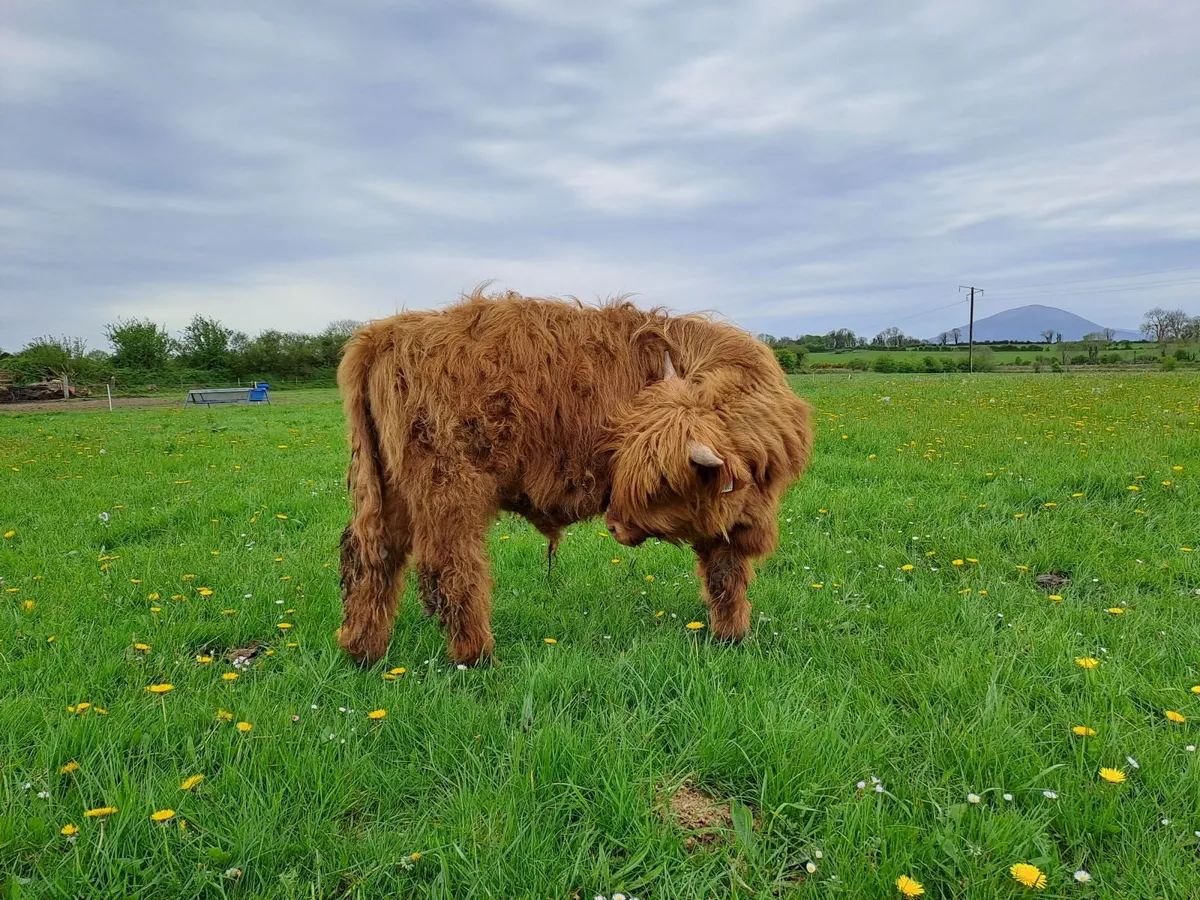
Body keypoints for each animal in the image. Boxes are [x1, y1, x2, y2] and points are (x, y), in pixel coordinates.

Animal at [336, 287, 813, 666]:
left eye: (658, 484)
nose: (614, 525)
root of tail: (385, 334)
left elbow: (722, 574)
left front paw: (728, 637)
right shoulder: (731, 520)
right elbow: (728, 573)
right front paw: (732, 636)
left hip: (388, 487)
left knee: (371, 557)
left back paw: (363, 651)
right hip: (448, 486)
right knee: (454, 569)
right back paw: (478, 656)